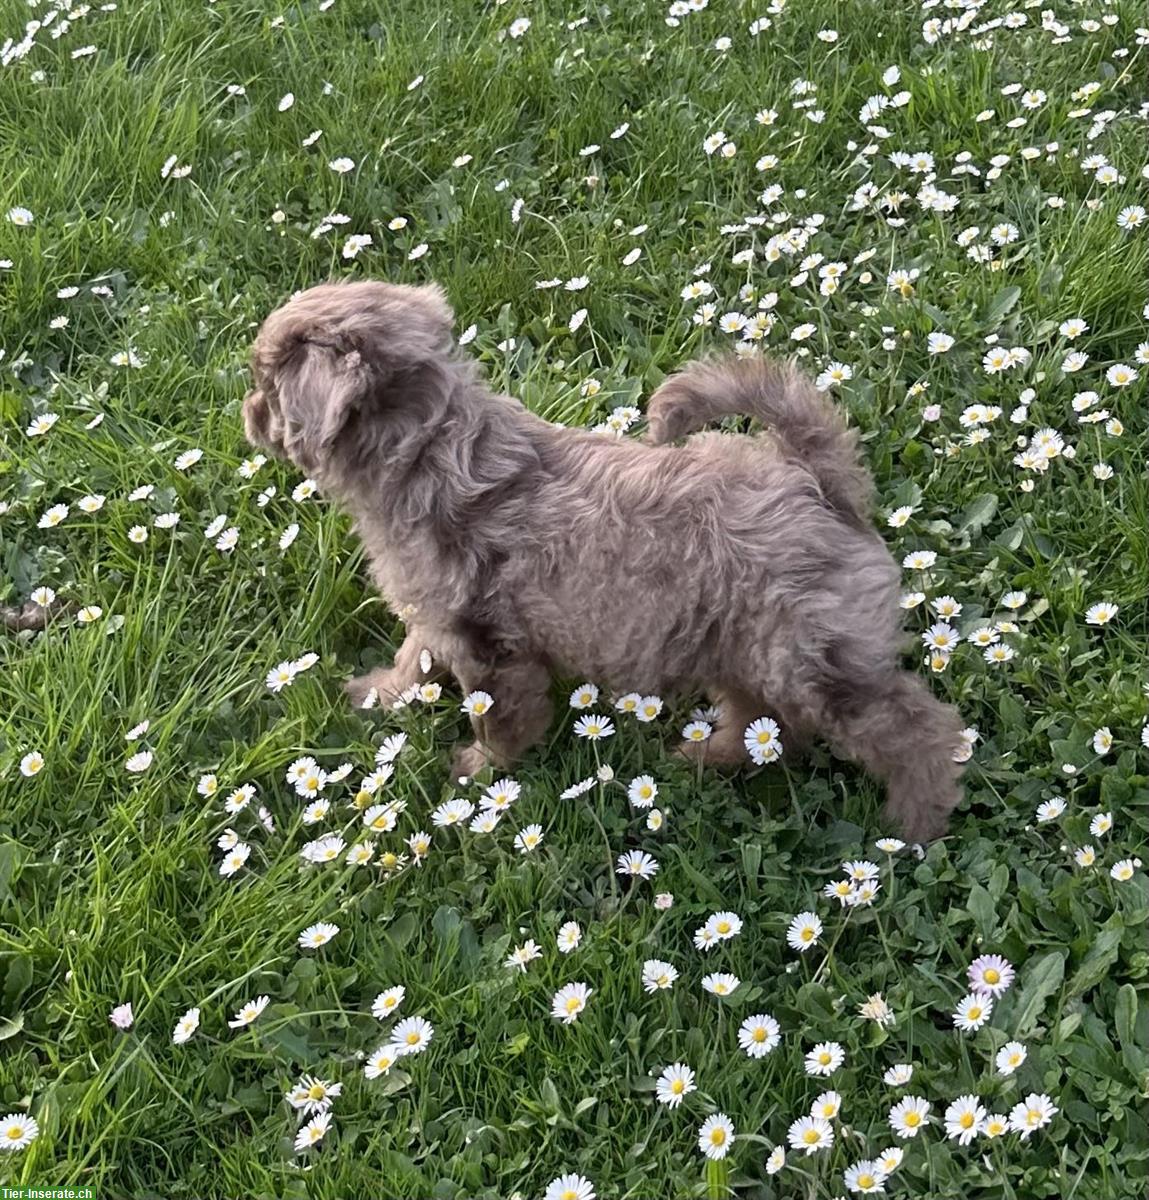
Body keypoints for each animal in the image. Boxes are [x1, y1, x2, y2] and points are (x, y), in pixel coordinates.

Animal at [244, 280, 969, 844]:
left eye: (267, 386)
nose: (245, 413)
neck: (430, 450)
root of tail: (816, 480)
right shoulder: (438, 614)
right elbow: (413, 654)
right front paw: (382, 694)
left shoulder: (488, 646)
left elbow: (496, 714)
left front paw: (480, 768)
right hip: (744, 645)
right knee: (769, 724)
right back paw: (711, 756)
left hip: (810, 659)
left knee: (915, 730)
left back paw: (914, 824)